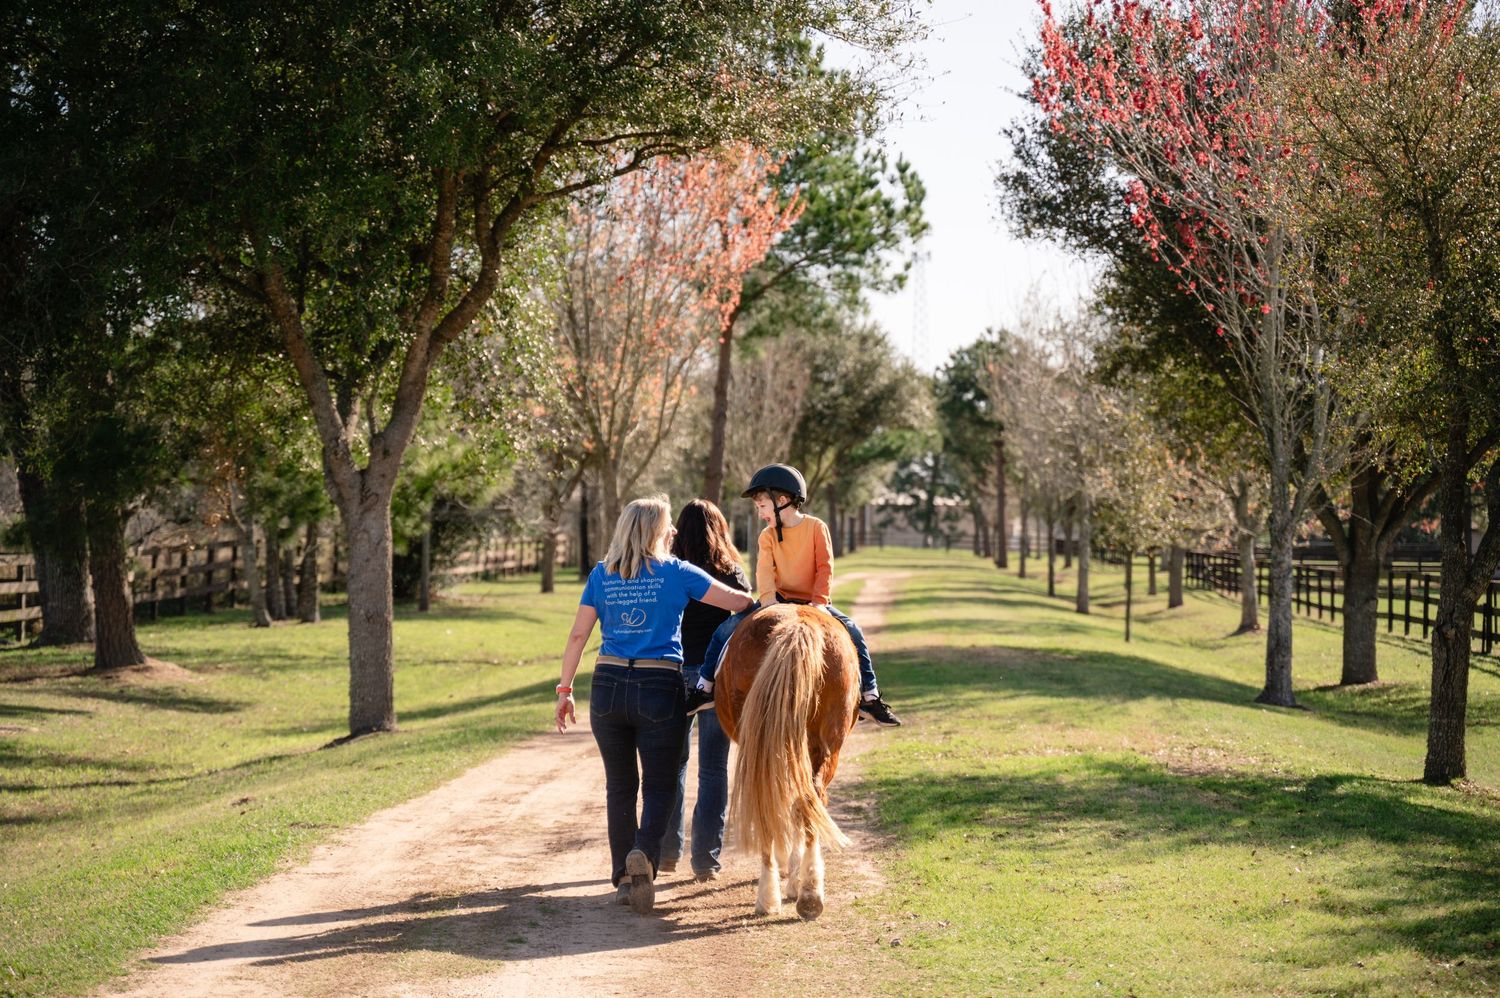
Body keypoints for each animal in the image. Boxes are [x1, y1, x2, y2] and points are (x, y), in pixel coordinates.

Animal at [715, 602, 860, 920]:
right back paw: (809, 893)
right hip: (824, 745)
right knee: (809, 798)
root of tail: (798, 622)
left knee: (781, 800)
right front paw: (794, 875)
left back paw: (772, 895)